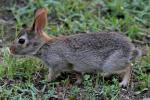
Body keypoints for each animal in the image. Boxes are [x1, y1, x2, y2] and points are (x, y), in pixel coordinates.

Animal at [9, 8, 143, 87]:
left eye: (21, 41)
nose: (10, 50)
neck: (43, 46)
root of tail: (131, 50)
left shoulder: (56, 64)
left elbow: (52, 74)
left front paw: (45, 80)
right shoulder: (73, 66)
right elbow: (78, 73)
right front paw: (78, 82)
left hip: (112, 63)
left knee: (128, 68)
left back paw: (123, 83)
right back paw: (104, 75)